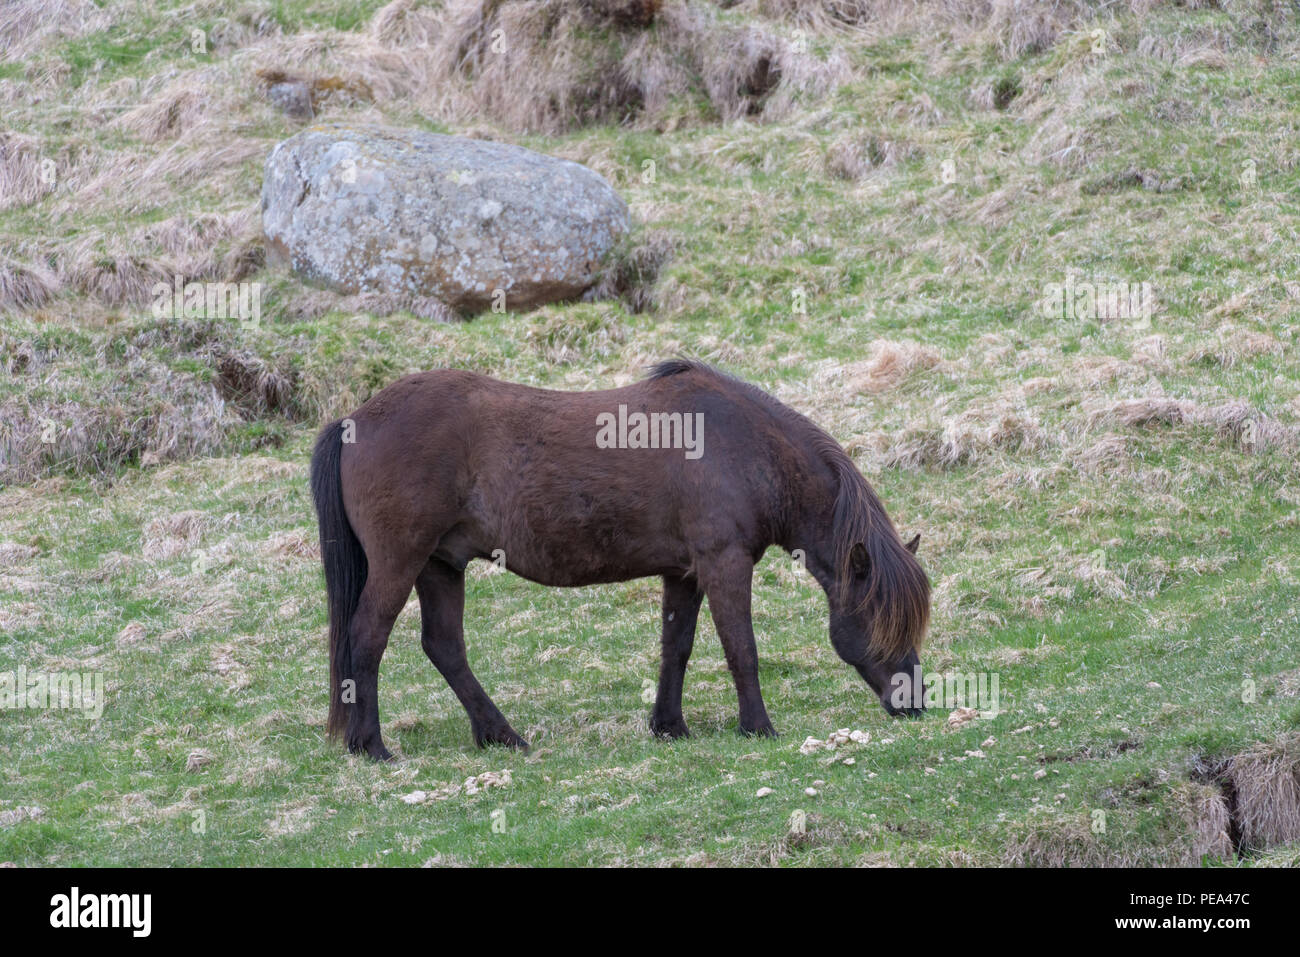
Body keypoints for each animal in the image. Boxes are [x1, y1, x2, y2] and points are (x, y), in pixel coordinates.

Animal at [309, 358, 930, 764]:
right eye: (885, 622)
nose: (915, 703)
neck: (742, 443)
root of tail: (355, 420)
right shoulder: (724, 564)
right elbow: (741, 649)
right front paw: (757, 727)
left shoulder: (684, 573)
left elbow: (677, 648)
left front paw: (670, 726)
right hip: (401, 562)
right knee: (367, 637)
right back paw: (372, 746)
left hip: (441, 565)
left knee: (444, 647)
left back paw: (501, 735)